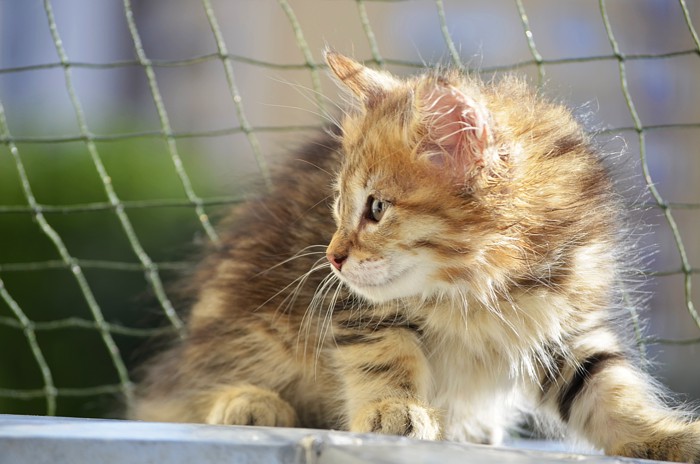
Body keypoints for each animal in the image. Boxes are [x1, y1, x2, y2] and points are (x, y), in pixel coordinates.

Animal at [129, 51, 700, 462]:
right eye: (338, 206)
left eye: (376, 209)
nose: (332, 258)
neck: (481, 288)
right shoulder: (354, 308)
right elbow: (386, 357)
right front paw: (393, 409)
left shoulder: (566, 325)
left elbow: (610, 390)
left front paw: (666, 436)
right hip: (250, 324)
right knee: (177, 396)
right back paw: (246, 402)